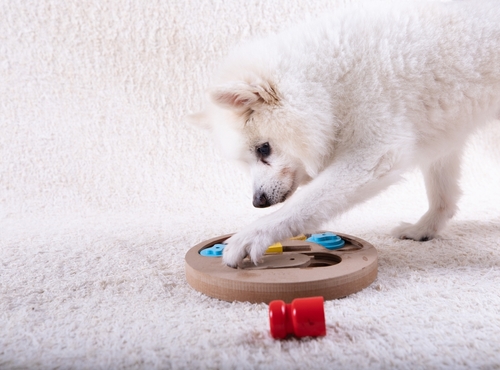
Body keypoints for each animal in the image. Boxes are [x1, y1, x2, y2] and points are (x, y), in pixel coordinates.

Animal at [188, 0, 500, 266]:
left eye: (263, 149)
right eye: (247, 160)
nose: (258, 201)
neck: (329, 81)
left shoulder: (374, 153)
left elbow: (306, 203)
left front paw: (253, 235)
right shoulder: (442, 135)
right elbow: (442, 193)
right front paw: (425, 228)